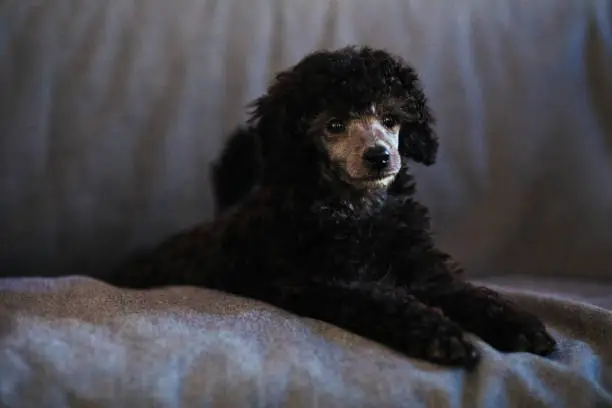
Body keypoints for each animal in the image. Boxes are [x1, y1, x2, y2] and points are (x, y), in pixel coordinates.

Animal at [109, 46, 556, 368]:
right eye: (334, 125)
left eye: (391, 119)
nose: (380, 156)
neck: (356, 209)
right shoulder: (318, 282)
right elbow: (382, 301)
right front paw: (440, 335)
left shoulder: (425, 270)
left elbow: (469, 293)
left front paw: (519, 324)